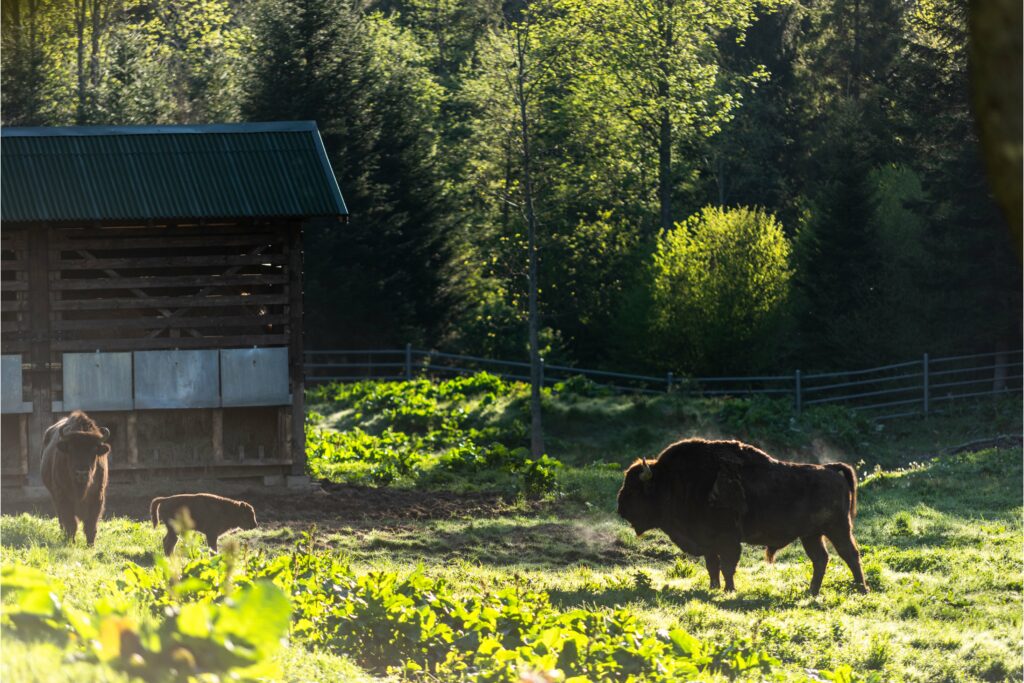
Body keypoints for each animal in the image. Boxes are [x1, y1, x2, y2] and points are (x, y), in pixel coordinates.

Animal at [40, 411, 110, 544]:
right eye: (71, 449)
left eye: (94, 450)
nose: (81, 473)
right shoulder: (63, 496)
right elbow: (71, 523)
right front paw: (71, 543)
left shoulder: (98, 496)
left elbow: (91, 525)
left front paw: (90, 545)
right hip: (54, 496)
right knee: (61, 519)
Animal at [614, 440, 872, 593]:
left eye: (635, 489)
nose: (620, 507)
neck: (671, 481)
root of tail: (830, 469)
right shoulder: (708, 542)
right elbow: (713, 566)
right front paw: (714, 588)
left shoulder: (727, 540)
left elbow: (727, 566)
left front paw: (729, 590)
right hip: (811, 535)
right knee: (821, 559)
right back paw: (812, 591)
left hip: (838, 528)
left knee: (850, 554)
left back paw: (861, 589)